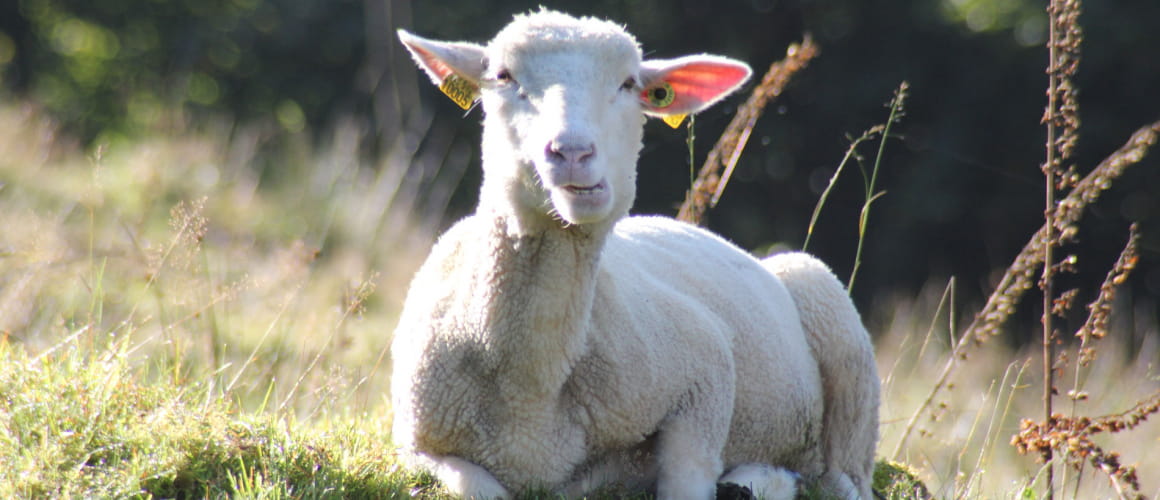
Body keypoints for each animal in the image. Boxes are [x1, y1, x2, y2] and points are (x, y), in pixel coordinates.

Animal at [391, 9, 879, 500]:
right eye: (504, 76)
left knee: (839, 477)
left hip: (838, 335)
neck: (530, 384)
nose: (573, 153)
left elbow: (687, 476)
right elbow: (476, 486)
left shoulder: (705, 369)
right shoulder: (415, 442)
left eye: (629, 84)